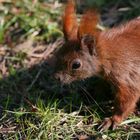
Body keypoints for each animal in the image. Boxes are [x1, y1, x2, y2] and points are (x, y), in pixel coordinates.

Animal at [53, 0, 140, 131]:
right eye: (58, 53)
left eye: (76, 65)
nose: (56, 78)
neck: (107, 56)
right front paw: (96, 91)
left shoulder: (127, 75)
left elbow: (127, 100)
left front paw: (113, 119)